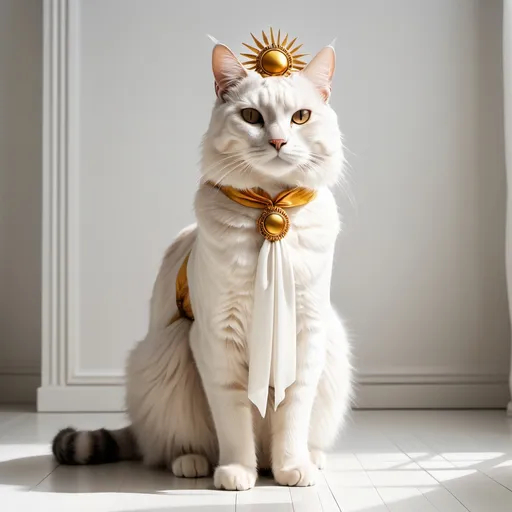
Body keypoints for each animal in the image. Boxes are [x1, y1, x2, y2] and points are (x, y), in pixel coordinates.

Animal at [54, 42, 354, 490]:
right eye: (252, 117)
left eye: (300, 117)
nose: (279, 141)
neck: (271, 212)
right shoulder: (216, 338)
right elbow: (233, 420)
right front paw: (237, 473)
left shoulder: (306, 333)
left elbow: (293, 413)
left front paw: (291, 469)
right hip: (169, 352)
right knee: (170, 446)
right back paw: (194, 463)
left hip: (332, 348)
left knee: (297, 437)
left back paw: (306, 461)